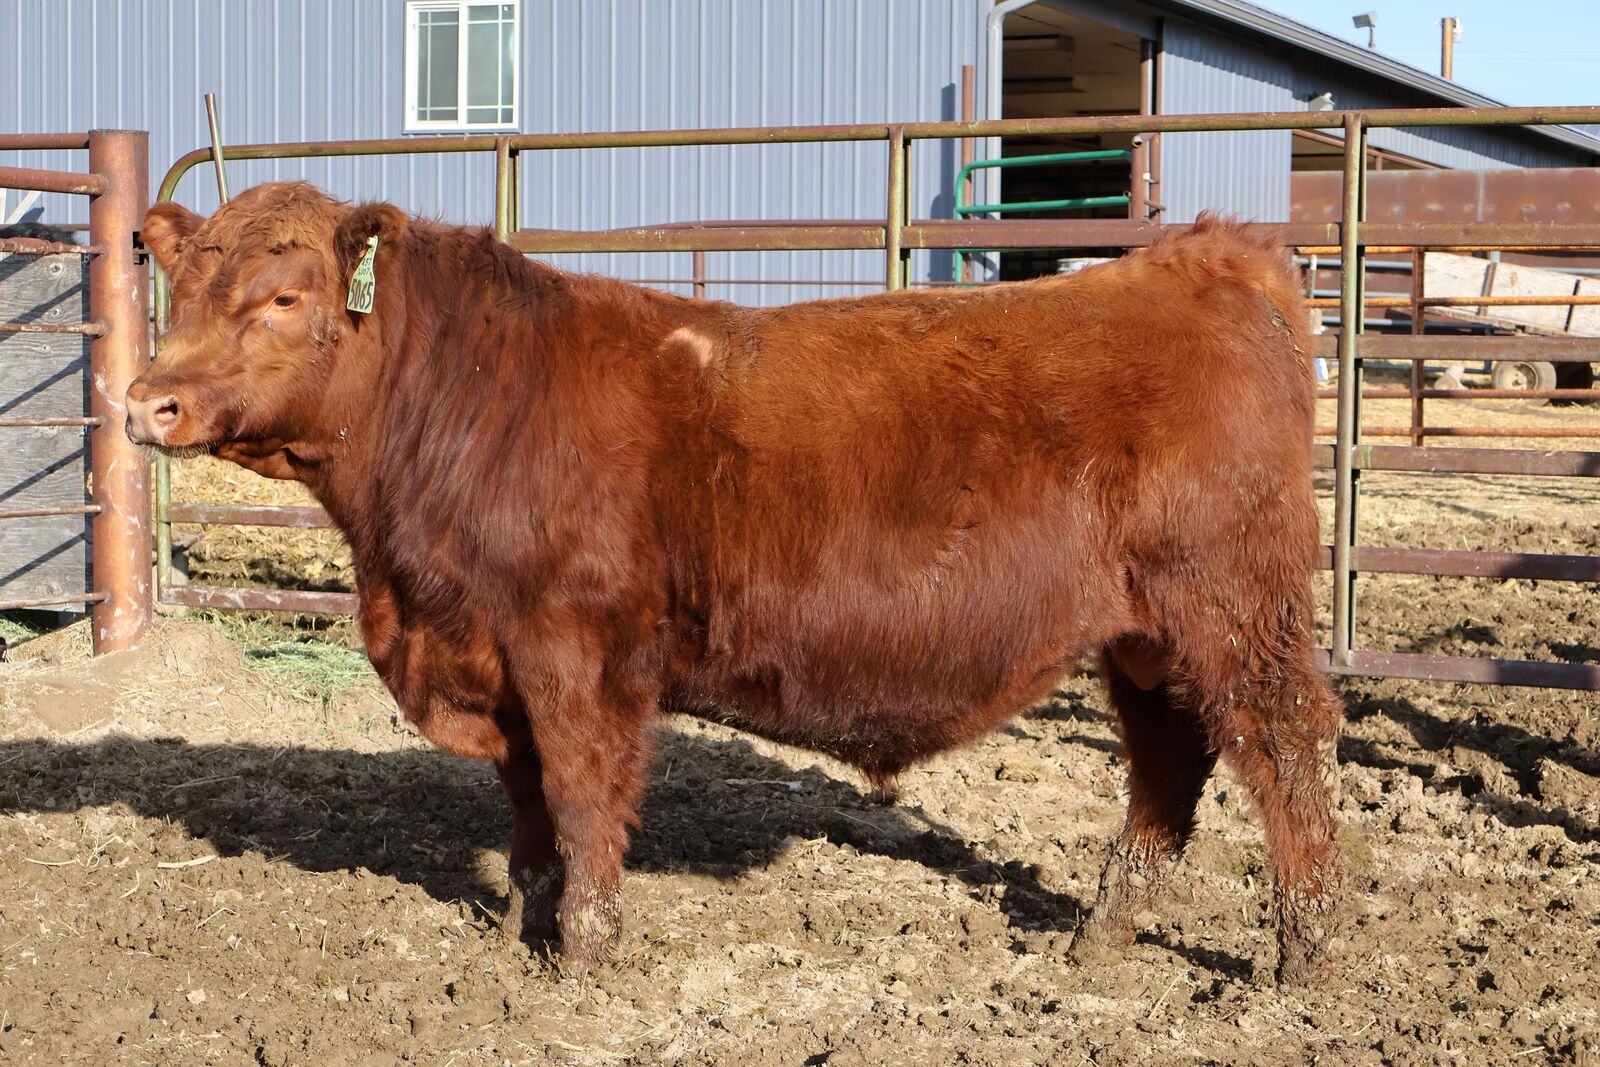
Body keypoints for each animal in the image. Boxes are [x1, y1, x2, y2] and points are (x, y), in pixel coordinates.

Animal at [127, 182, 1345, 984]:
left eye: (284, 299)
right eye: (178, 289)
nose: (147, 401)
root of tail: (1204, 257)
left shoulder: (575, 652)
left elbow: (582, 797)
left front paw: (588, 960)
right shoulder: (497, 660)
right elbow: (527, 808)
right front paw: (528, 930)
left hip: (1236, 605)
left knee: (1285, 749)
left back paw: (1304, 957)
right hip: (1147, 633)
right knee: (1170, 762)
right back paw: (1099, 941)